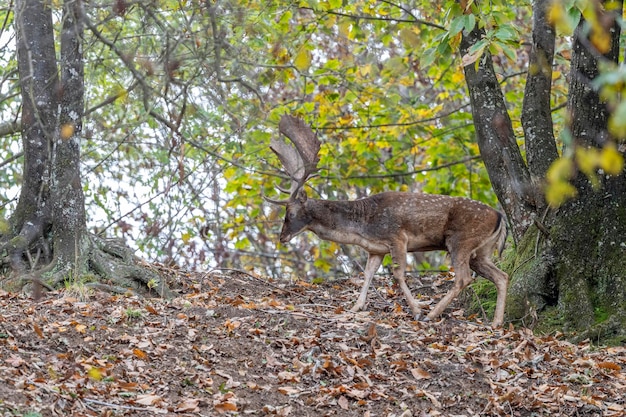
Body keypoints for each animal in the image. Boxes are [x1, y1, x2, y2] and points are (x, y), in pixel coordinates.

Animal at [266, 115, 508, 326]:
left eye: (290, 214)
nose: (282, 237)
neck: (363, 226)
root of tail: (501, 217)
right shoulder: (376, 249)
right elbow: (368, 274)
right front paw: (356, 307)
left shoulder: (397, 236)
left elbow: (398, 274)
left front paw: (417, 310)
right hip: (482, 251)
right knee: (502, 276)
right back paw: (496, 322)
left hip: (461, 240)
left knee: (463, 278)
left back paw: (432, 314)